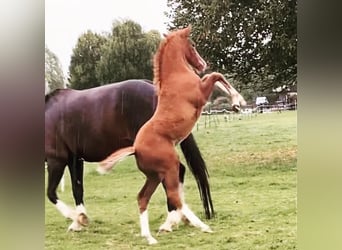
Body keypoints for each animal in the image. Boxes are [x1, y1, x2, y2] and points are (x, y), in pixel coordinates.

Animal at [44, 79, 214, 231]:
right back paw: (182, 217)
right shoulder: (75, 159)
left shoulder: (56, 160)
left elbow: (51, 193)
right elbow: (77, 189)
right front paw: (79, 221)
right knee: (179, 172)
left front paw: (78, 219)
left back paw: (170, 222)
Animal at [99, 25, 246, 244]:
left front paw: (237, 103)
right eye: (192, 44)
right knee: (174, 197)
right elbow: (216, 75)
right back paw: (201, 226)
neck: (177, 76)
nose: (202, 64)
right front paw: (238, 101)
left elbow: (217, 78)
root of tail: (135, 148)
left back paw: (150, 237)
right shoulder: (201, 93)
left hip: (154, 175)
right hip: (169, 168)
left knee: (143, 198)